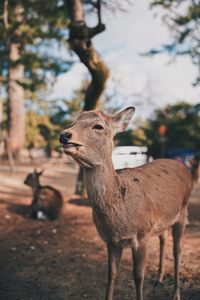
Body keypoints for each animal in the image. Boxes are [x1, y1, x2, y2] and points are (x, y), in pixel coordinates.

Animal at [59, 108, 192, 300]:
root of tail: (186, 170)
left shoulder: (142, 234)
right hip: (164, 221)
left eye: (98, 126)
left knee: (177, 250)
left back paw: (176, 294)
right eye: (73, 122)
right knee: (163, 239)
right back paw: (158, 280)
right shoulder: (110, 240)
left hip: (183, 211)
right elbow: (111, 274)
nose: (64, 135)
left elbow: (138, 276)